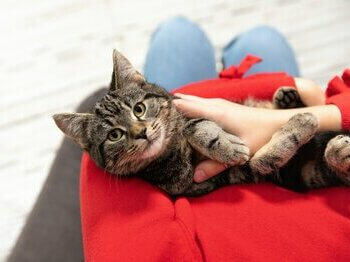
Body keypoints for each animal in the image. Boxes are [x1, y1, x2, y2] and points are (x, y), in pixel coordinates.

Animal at [52, 50, 350, 195]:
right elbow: (197, 131)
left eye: (139, 109)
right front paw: (227, 147)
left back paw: (289, 101)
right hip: (305, 172)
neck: (173, 148)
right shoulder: (187, 182)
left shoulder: (188, 107)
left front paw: (222, 143)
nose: (141, 133)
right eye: (114, 135)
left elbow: (194, 122)